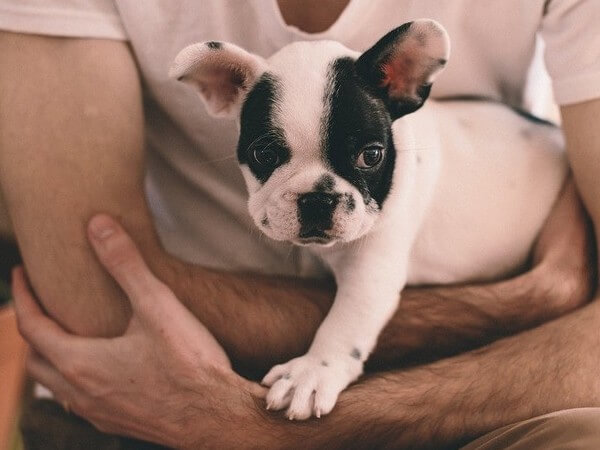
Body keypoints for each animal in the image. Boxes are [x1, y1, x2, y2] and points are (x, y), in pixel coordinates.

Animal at [169, 20, 568, 422]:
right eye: (264, 154)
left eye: (371, 155)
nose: (318, 198)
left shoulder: (372, 266)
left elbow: (346, 320)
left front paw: (312, 371)